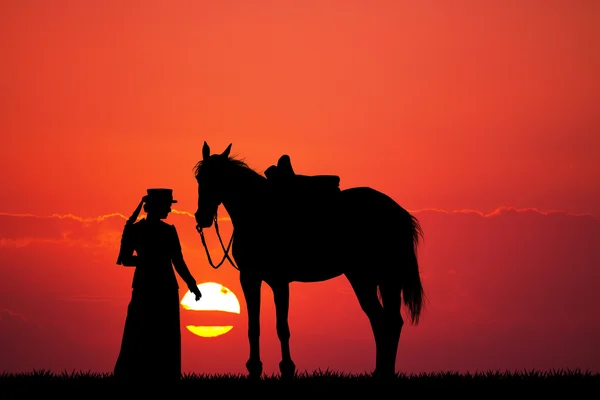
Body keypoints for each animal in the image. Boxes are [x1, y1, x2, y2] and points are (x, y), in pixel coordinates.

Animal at [195, 142, 424, 380]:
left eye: (217, 179)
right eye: (199, 179)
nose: (201, 217)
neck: (257, 213)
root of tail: (398, 212)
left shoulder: (279, 281)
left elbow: (282, 327)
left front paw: (287, 368)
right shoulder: (249, 278)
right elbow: (253, 326)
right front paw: (254, 369)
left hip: (373, 278)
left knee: (386, 320)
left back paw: (383, 372)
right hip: (377, 279)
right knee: (385, 320)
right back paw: (382, 371)